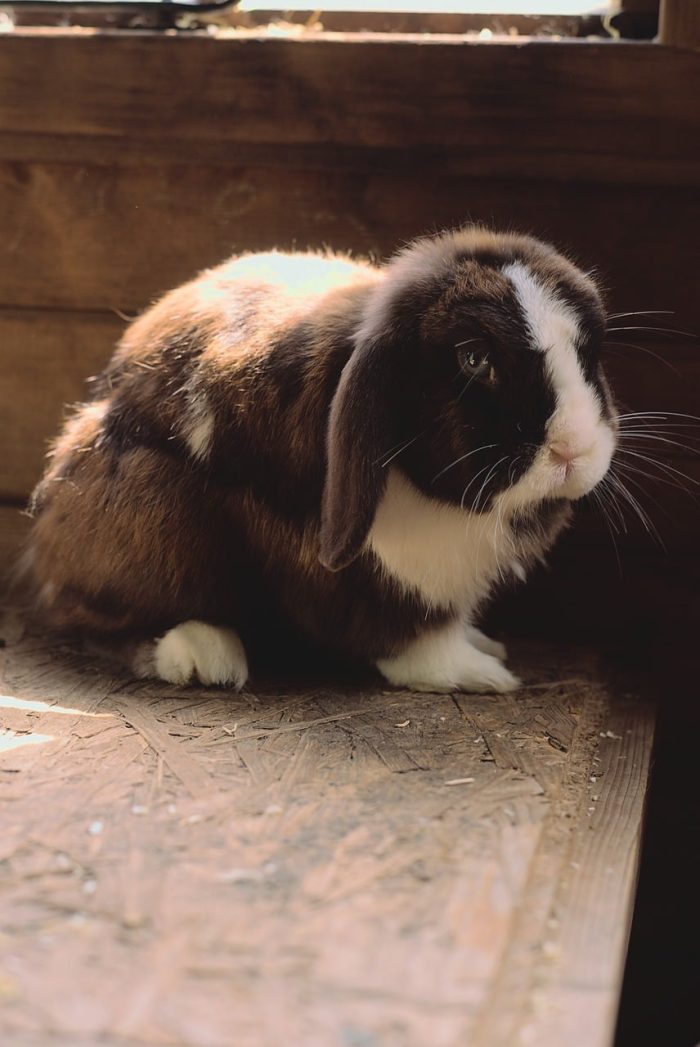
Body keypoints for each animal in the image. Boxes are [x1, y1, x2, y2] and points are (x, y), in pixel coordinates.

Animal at [22, 227, 618, 694]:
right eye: (474, 359)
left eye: (586, 353)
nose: (573, 448)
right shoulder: (362, 577)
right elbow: (407, 638)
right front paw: (481, 676)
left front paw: (484, 648)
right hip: (143, 516)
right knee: (88, 619)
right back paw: (200, 653)